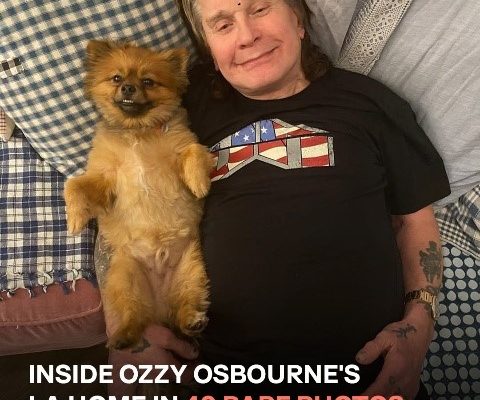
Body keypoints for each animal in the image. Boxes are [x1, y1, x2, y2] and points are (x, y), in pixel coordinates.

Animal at [64, 40, 211, 350]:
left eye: (148, 82)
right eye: (116, 78)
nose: (128, 88)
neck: (137, 131)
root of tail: (160, 306)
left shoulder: (182, 152)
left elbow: (195, 151)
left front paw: (199, 183)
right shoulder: (105, 180)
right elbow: (73, 185)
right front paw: (75, 219)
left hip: (192, 270)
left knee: (185, 304)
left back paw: (191, 321)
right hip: (125, 277)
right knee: (134, 315)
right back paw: (124, 337)